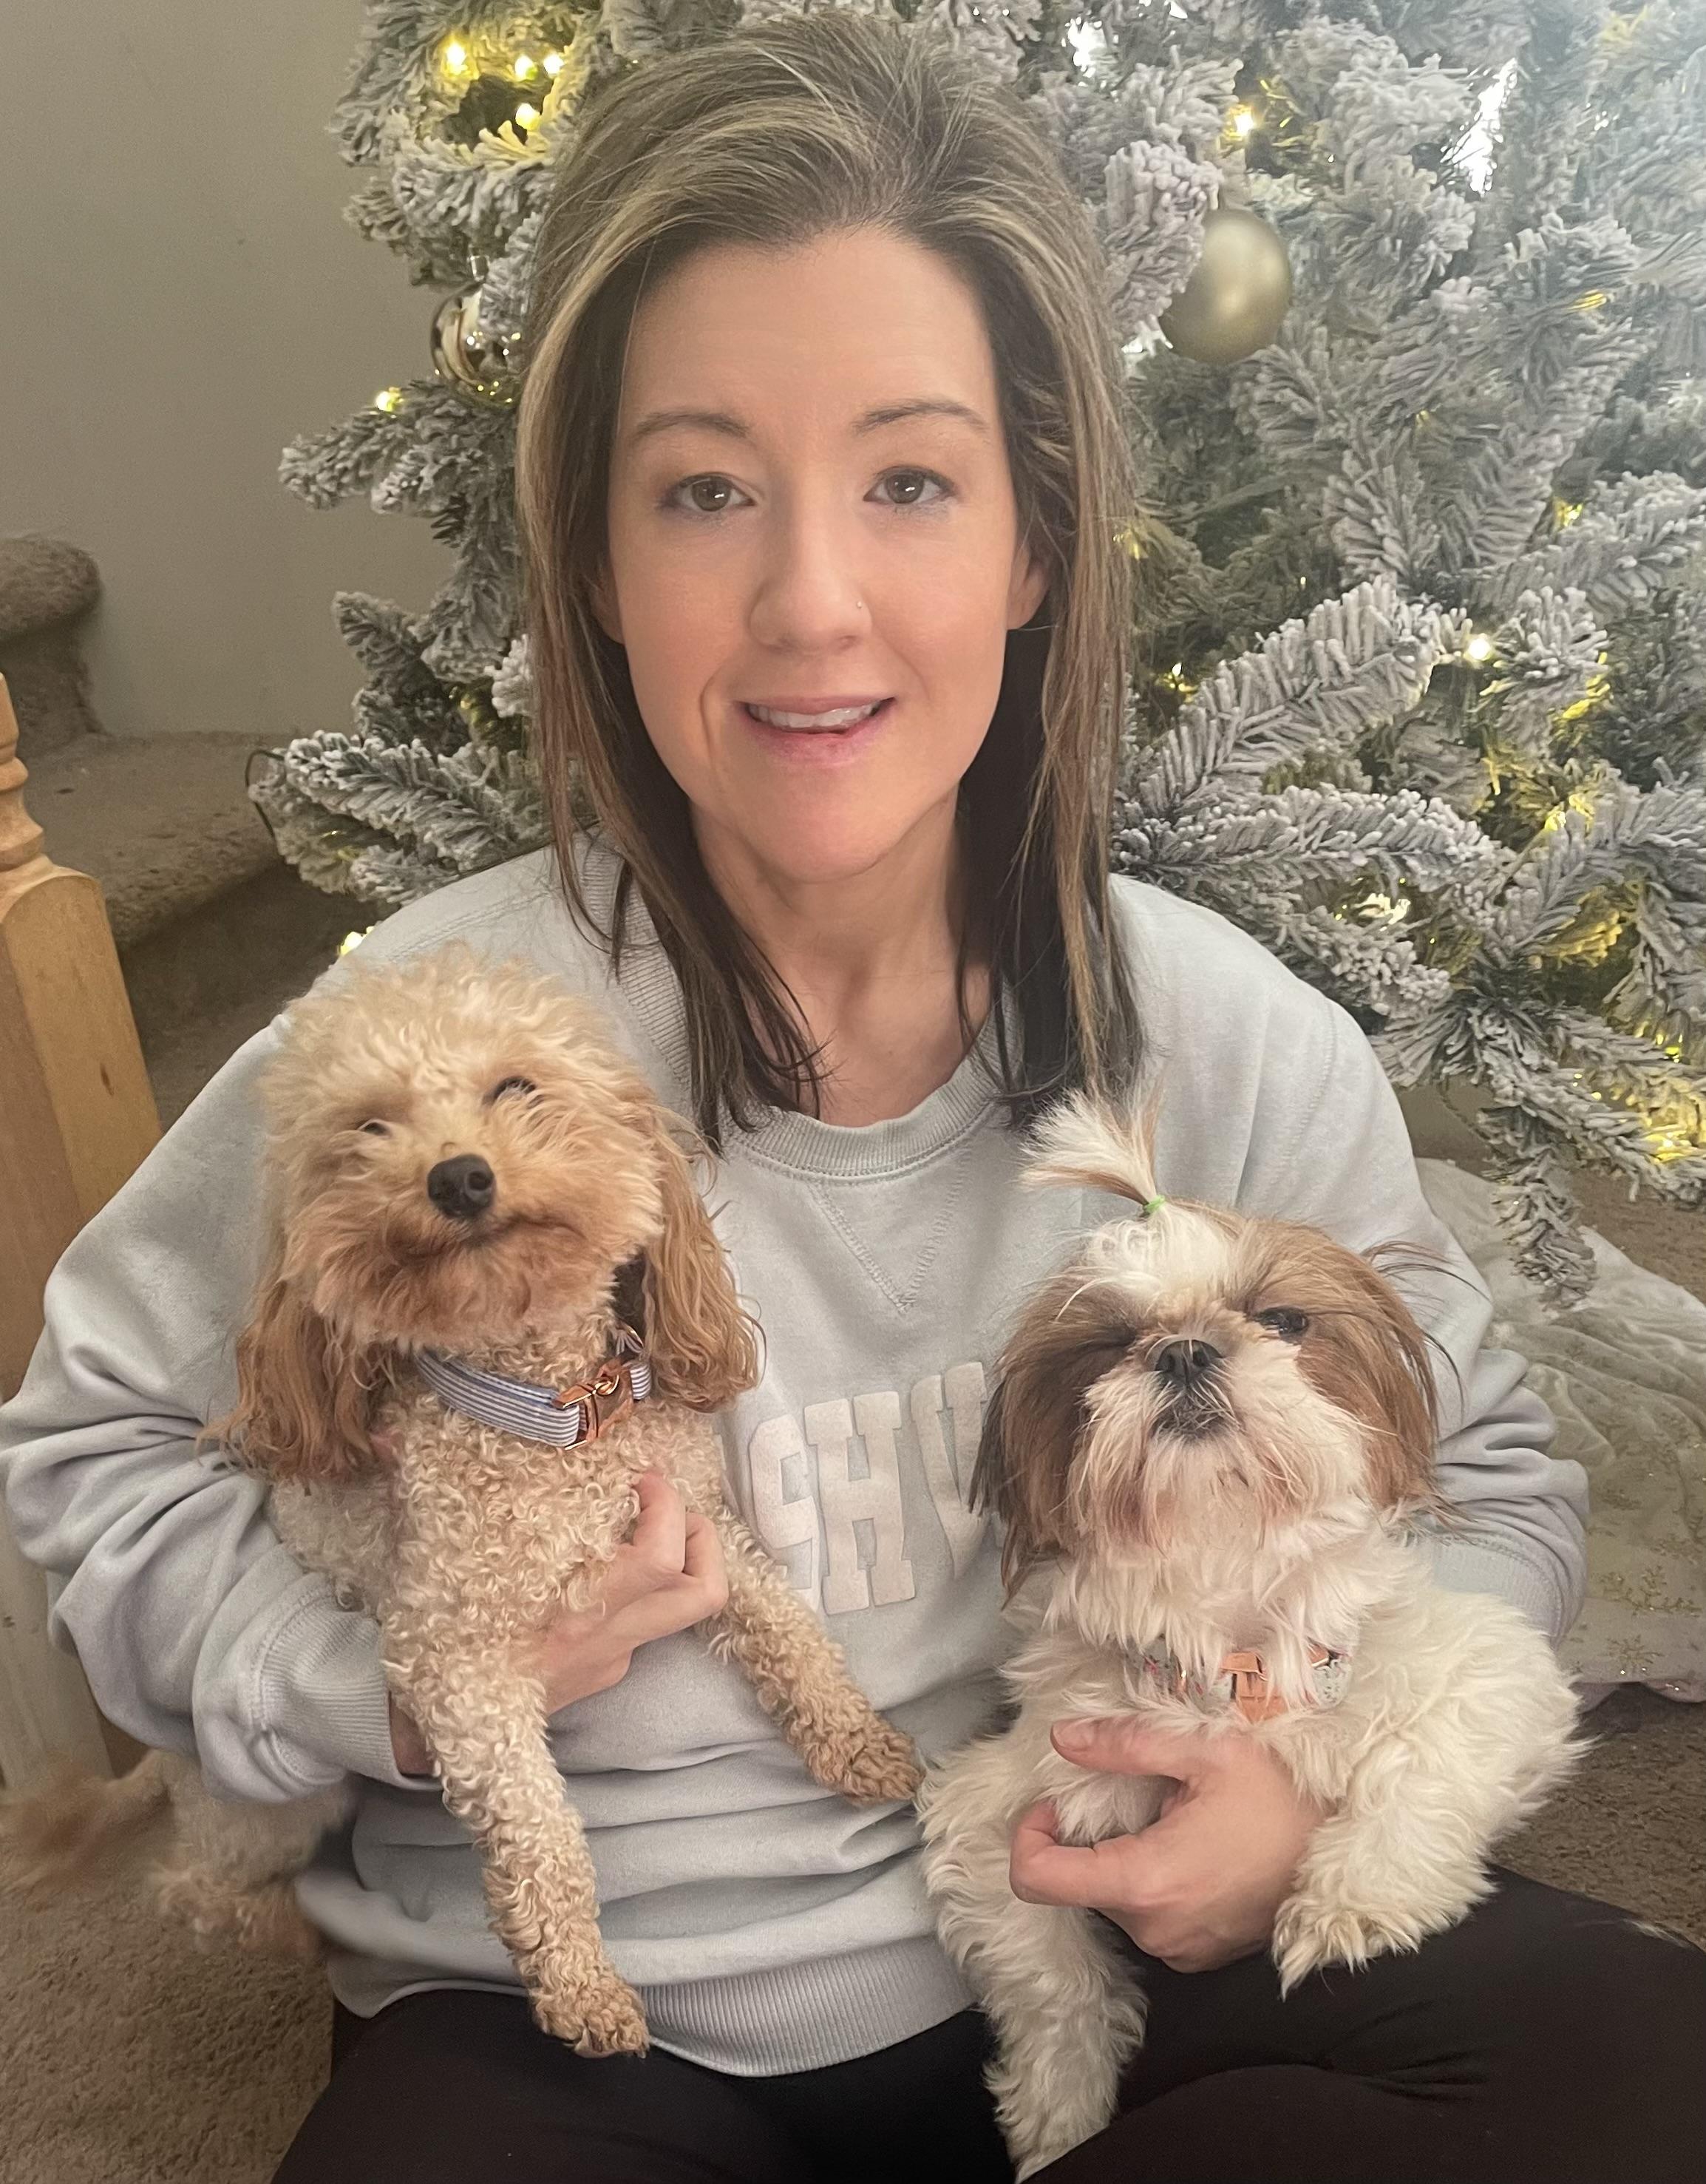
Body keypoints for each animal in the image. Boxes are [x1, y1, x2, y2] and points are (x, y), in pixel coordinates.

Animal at [1, 942, 919, 2057]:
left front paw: (863, 1743)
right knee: (189, 1888)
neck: (548, 1413)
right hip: (274, 1801)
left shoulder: (705, 1533)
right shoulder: (461, 1663)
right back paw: (295, 1925)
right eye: (368, 1126)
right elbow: (541, 1833)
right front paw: (580, 1985)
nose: (459, 1175)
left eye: (516, 1086)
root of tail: (159, 1764)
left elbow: (792, 1632)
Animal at [916, 1092, 1582, 2176]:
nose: (1185, 1347)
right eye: (1109, 1343)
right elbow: (1051, 1980)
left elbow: (1429, 1756)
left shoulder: (1491, 1671)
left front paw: (1355, 1895)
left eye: (1281, 1320)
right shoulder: (994, 1807)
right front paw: (1062, 2111)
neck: (1228, 1616)